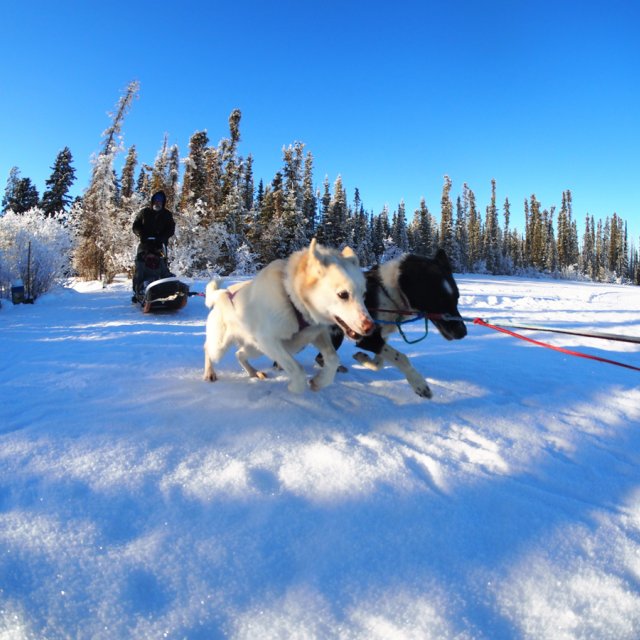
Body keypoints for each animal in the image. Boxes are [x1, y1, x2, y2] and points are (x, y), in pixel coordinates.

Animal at [204, 238, 376, 392]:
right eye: (343, 294)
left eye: (364, 294)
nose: (371, 327)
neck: (291, 299)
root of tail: (222, 294)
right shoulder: (269, 341)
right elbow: (297, 370)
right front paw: (296, 387)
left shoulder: (316, 334)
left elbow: (333, 359)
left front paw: (320, 381)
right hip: (221, 347)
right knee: (208, 349)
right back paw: (209, 373)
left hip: (256, 349)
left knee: (239, 354)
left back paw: (253, 372)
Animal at [322, 248, 468, 398]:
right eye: (437, 300)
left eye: (457, 298)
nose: (463, 332)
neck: (388, 293)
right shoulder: (367, 338)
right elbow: (402, 358)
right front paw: (418, 383)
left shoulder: (382, 336)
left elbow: (379, 363)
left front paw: (363, 358)